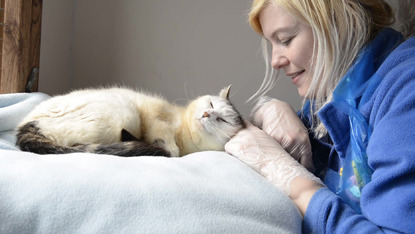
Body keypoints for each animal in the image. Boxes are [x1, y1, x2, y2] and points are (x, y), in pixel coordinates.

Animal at [16, 85, 245, 156]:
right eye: (211, 104)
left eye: (222, 120)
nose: (206, 114)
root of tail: (26, 127)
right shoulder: (154, 112)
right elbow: (166, 142)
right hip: (126, 111)